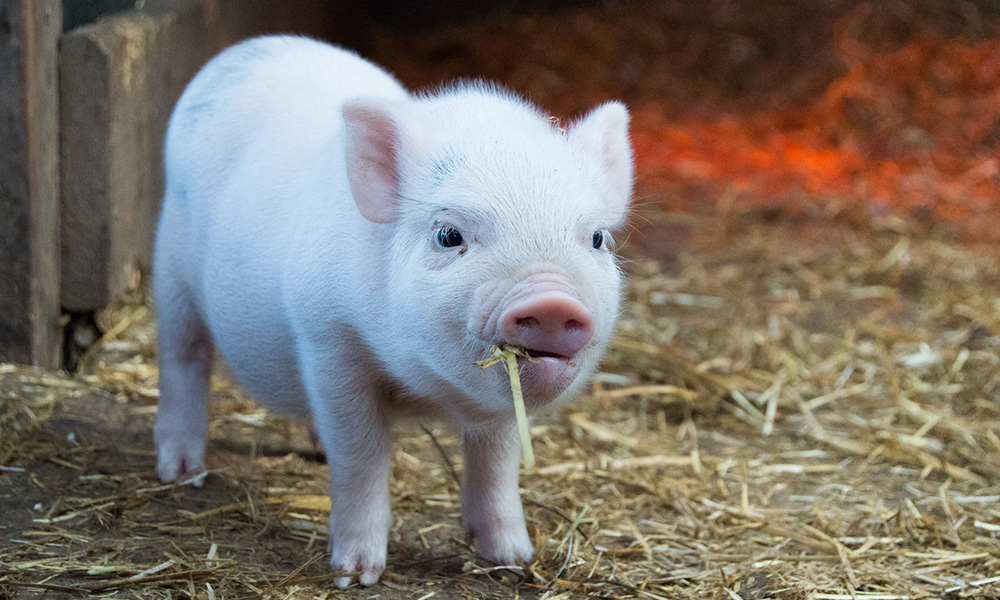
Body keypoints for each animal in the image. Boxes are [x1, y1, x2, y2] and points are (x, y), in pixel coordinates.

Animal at [152, 35, 632, 588]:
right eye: (448, 235)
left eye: (596, 239)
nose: (552, 300)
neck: (425, 391)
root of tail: (247, 49)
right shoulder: (328, 340)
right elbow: (361, 455)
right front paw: (355, 575)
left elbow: (497, 461)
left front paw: (514, 560)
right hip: (171, 269)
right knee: (183, 356)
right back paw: (180, 472)